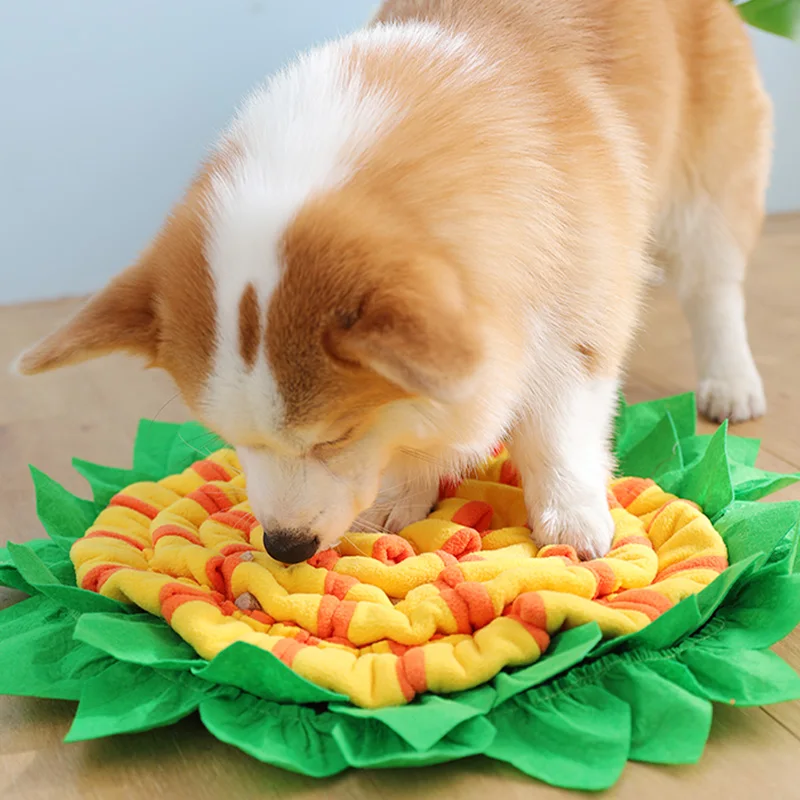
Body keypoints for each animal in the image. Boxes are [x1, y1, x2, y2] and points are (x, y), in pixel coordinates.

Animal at [16, 0, 770, 564]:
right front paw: (402, 494)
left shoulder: (573, 301)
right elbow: (422, 420)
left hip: (703, 189)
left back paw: (730, 381)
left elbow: (558, 421)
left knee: (715, 284)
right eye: (230, 439)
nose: (285, 548)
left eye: (335, 437)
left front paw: (571, 518)